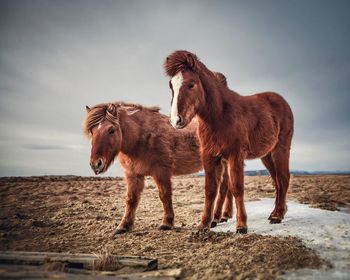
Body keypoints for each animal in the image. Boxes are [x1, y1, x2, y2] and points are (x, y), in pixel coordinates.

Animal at [83, 101, 232, 233]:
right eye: (92, 131)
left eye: (111, 130)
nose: (96, 164)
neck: (142, 138)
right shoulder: (133, 174)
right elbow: (131, 199)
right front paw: (123, 226)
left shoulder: (161, 172)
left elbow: (165, 195)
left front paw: (167, 223)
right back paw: (220, 218)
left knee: (223, 190)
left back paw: (216, 219)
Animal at [163, 50, 292, 234]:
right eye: (171, 85)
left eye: (191, 84)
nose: (176, 120)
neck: (220, 116)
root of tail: (281, 100)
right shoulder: (209, 157)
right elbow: (211, 190)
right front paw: (204, 224)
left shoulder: (234, 156)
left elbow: (236, 188)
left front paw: (241, 225)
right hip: (266, 155)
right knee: (276, 181)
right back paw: (274, 213)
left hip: (281, 149)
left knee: (283, 178)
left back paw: (278, 215)